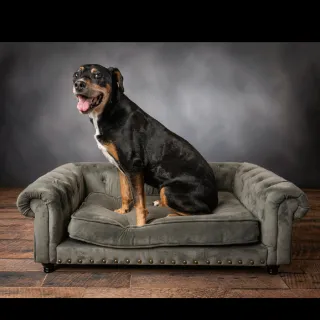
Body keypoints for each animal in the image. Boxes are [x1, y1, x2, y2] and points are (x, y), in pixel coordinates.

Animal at [72, 63, 219, 226]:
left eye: (97, 75)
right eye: (76, 74)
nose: (78, 84)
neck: (110, 110)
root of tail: (216, 199)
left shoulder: (134, 166)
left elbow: (139, 202)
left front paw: (140, 225)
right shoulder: (121, 167)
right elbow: (125, 193)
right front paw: (123, 211)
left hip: (168, 190)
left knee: (203, 212)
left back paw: (171, 215)